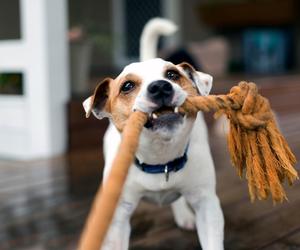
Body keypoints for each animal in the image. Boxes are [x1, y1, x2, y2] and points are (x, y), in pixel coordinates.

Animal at [83, 18, 224, 250]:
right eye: (127, 86)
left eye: (173, 75)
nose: (160, 86)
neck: (160, 159)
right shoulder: (119, 215)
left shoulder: (207, 204)